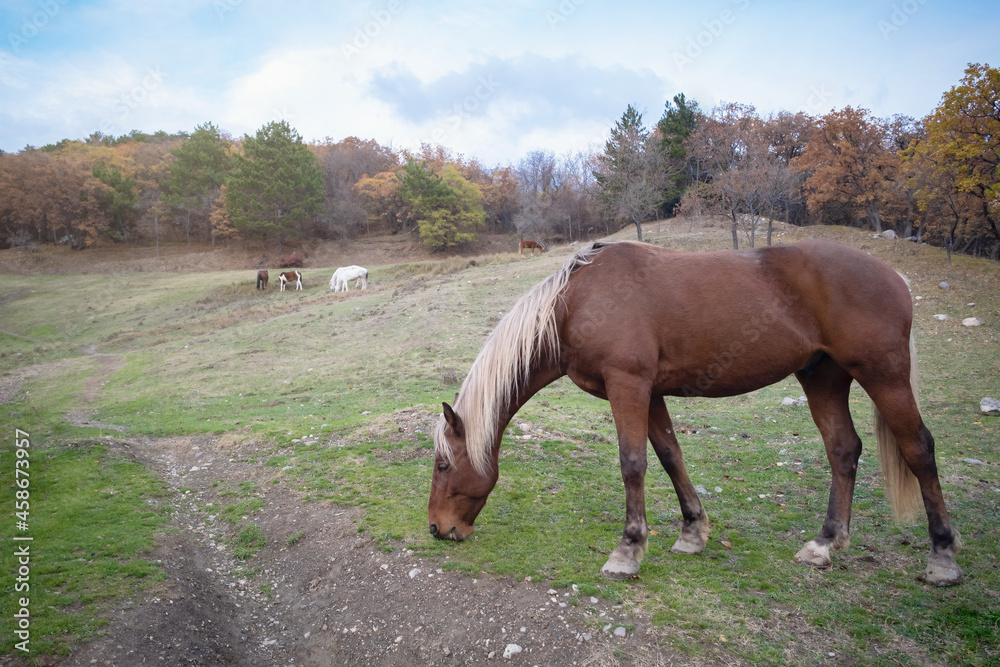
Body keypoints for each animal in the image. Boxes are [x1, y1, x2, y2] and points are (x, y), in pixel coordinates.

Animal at [429, 240, 963, 587]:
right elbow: (670, 456)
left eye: (442, 464)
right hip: (823, 379)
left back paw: (942, 557)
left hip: (884, 377)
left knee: (919, 449)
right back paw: (824, 545)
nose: (437, 529)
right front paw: (692, 533)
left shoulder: (628, 385)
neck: (577, 302)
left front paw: (628, 551)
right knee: (843, 451)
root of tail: (894, 276)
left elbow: (633, 464)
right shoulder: (649, 393)